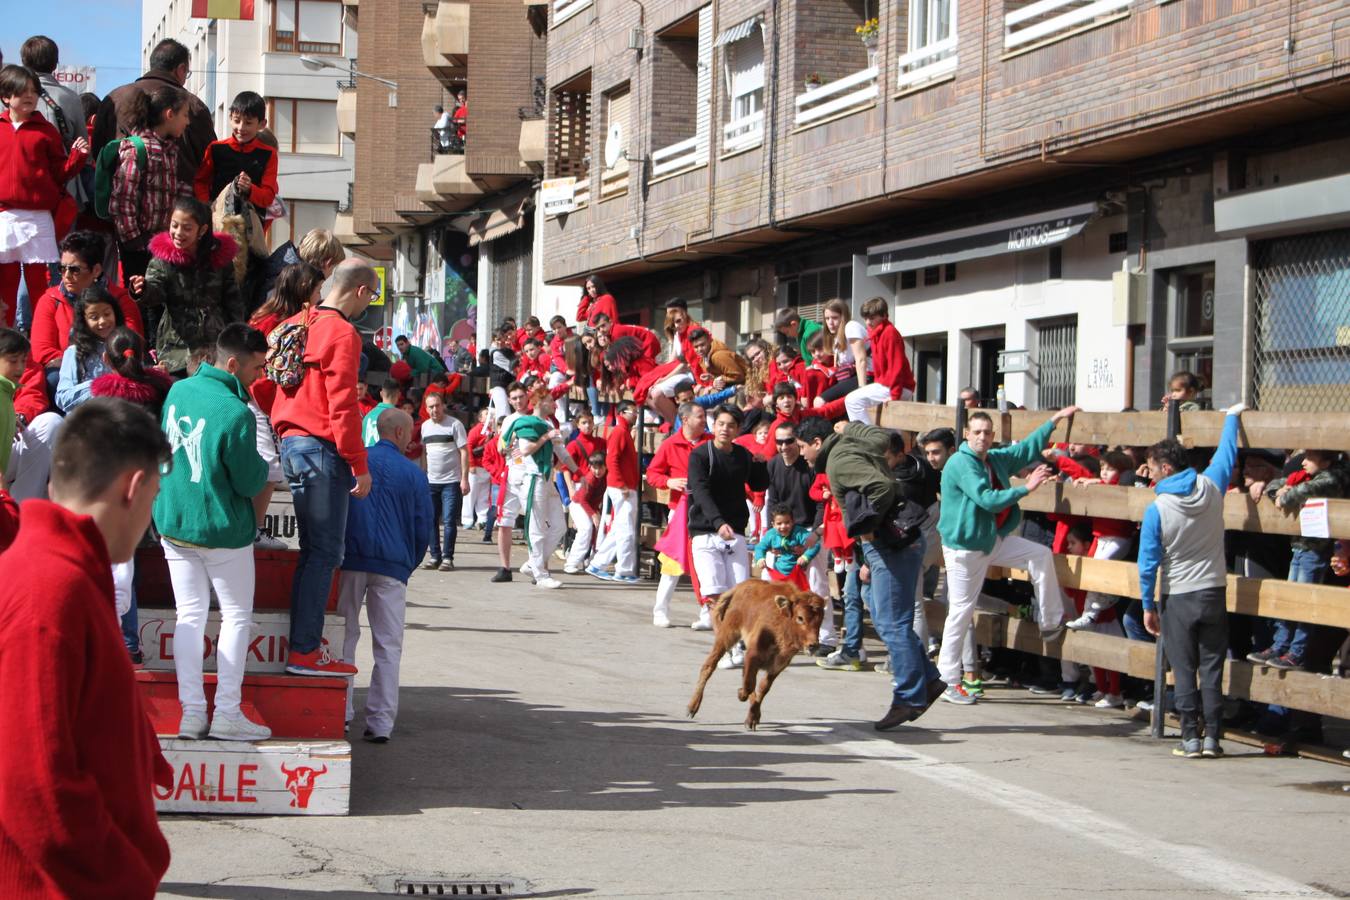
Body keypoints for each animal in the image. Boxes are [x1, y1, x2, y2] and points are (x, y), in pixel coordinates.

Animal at [685, 580, 820, 728]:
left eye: (820, 620)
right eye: (800, 618)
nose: (813, 645)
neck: (783, 620)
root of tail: (739, 587)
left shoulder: (778, 665)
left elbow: (762, 687)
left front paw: (752, 718)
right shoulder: (752, 656)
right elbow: (749, 685)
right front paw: (741, 695)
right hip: (726, 636)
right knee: (708, 666)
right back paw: (692, 708)